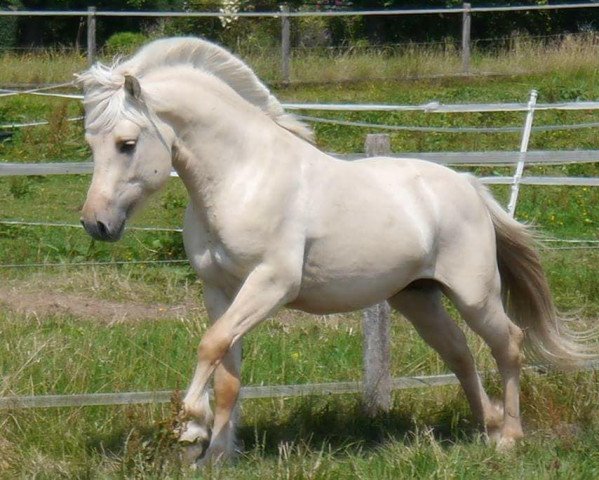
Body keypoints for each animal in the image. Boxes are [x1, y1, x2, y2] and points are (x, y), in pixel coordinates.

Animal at [77, 36, 596, 464]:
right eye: (91, 142)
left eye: (126, 143)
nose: (95, 223)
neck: (243, 176)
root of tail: (469, 185)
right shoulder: (220, 291)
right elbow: (226, 371)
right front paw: (216, 456)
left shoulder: (270, 284)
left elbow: (210, 346)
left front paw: (189, 427)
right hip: (417, 297)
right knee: (460, 355)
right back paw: (485, 427)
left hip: (474, 293)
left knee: (508, 344)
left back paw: (509, 437)